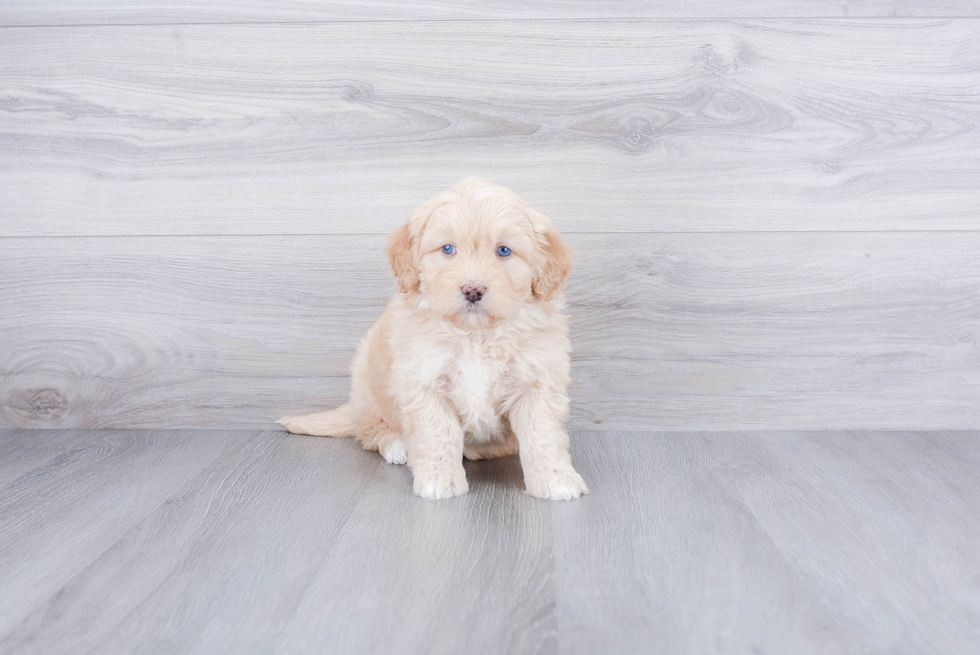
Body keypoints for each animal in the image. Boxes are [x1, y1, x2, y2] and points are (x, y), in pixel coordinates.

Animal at [282, 177, 588, 500]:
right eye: (448, 249)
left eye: (504, 251)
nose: (473, 289)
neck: (476, 335)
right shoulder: (425, 379)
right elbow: (438, 432)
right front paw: (440, 481)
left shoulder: (538, 380)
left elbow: (542, 433)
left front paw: (555, 479)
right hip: (370, 388)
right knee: (374, 432)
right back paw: (398, 446)